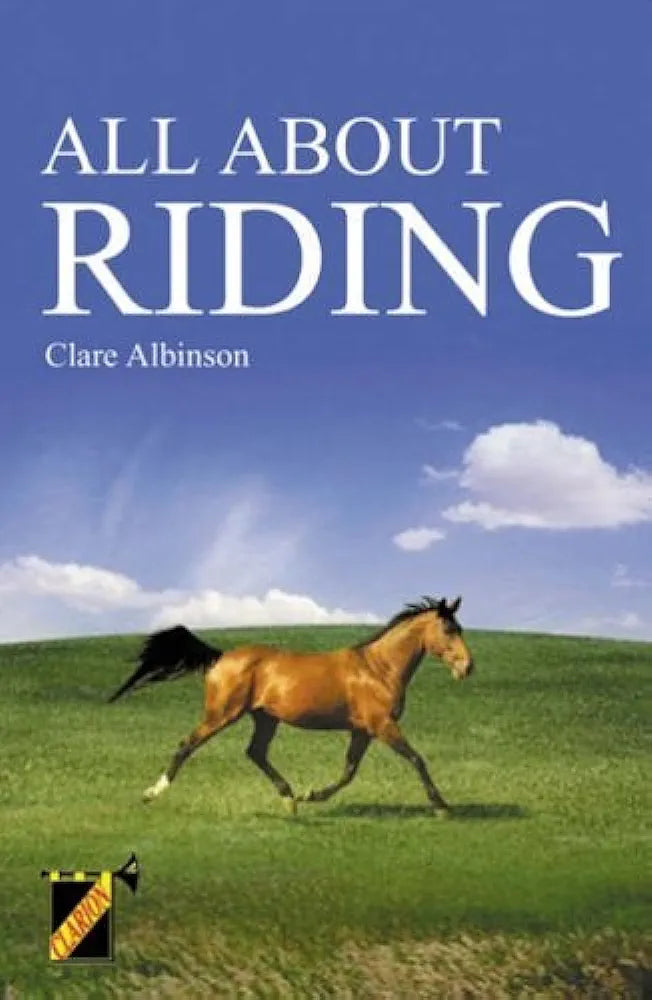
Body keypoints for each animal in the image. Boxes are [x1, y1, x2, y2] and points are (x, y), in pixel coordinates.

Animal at [108, 595, 474, 814]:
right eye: (448, 629)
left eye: (460, 628)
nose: (467, 667)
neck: (377, 668)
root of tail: (220, 657)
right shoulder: (382, 725)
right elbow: (416, 758)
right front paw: (442, 806)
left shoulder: (363, 730)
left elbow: (349, 772)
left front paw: (311, 795)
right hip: (222, 714)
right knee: (188, 743)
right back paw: (152, 793)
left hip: (265, 718)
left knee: (255, 752)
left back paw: (290, 799)